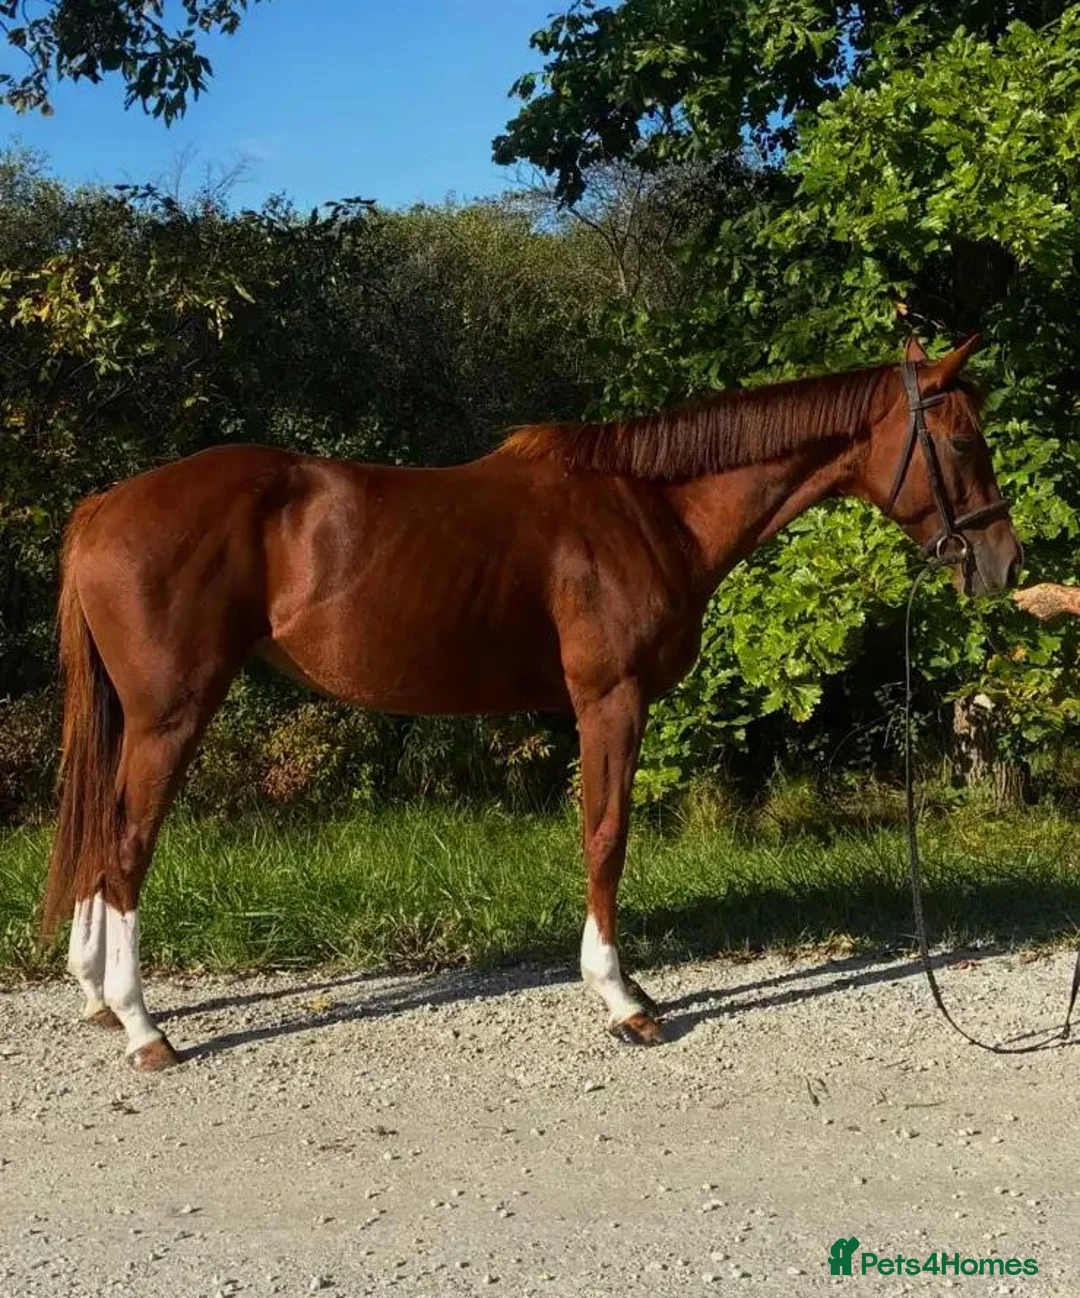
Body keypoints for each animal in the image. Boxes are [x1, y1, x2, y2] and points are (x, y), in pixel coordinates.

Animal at [40, 333, 1022, 1069]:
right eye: (962, 442)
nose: (1004, 562)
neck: (651, 510)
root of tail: (104, 506)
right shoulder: (610, 702)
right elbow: (606, 835)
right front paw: (623, 999)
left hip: (136, 720)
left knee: (99, 831)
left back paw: (97, 996)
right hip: (172, 715)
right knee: (124, 844)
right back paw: (143, 1027)